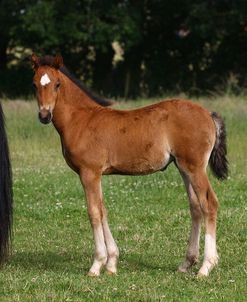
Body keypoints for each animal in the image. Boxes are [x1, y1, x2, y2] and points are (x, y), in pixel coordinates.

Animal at [31, 53, 229, 276]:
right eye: (34, 84)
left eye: (57, 84)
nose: (44, 115)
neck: (81, 119)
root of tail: (208, 114)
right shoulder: (96, 175)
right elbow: (103, 210)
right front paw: (111, 264)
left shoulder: (89, 172)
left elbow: (94, 212)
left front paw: (97, 264)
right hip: (184, 168)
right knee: (195, 207)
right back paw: (187, 263)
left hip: (195, 168)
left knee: (209, 204)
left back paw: (206, 266)